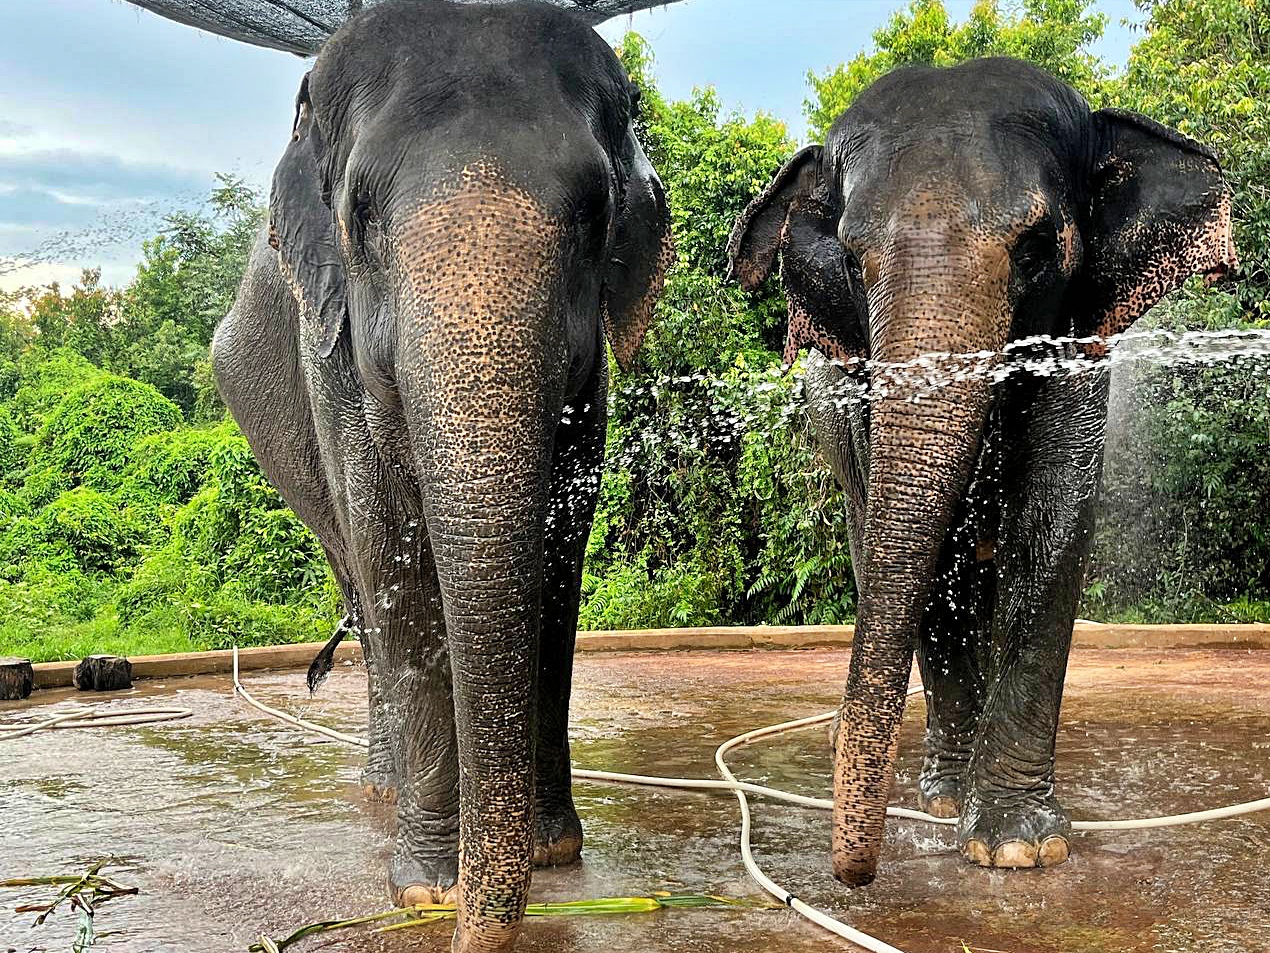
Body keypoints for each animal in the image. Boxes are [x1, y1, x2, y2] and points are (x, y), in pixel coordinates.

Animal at [210, 1, 672, 949]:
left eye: (596, 214)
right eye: (359, 217)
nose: (464, 920)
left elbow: (558, 560)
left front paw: (553, 853)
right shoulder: (332, 354)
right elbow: (394, 550)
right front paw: (426, 890)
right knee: (360, 585)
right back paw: (384, 792)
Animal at [728, 57, 1235, 887]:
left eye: (1035, 246)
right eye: (851, 260)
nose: (853, 876)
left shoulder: (1078, 337)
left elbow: (1051, 518)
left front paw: (1016, 844)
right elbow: (928, 558)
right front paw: (944, 802)